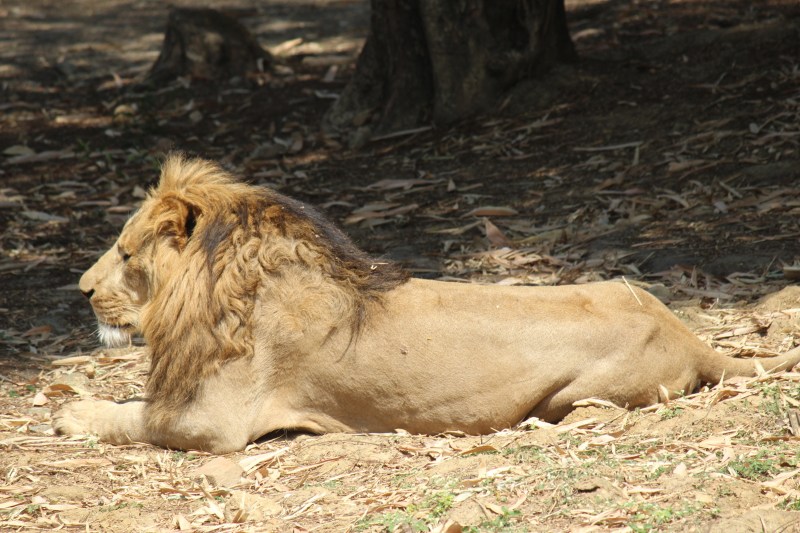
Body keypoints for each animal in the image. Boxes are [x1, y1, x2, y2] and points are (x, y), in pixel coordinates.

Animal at [54, 155, 800, 453]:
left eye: (125, 254)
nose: (82, 289)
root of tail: (689, 333)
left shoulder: (213, 422)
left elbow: (133, 416)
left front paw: (69, 413)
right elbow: (132, 404)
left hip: (575, 394)